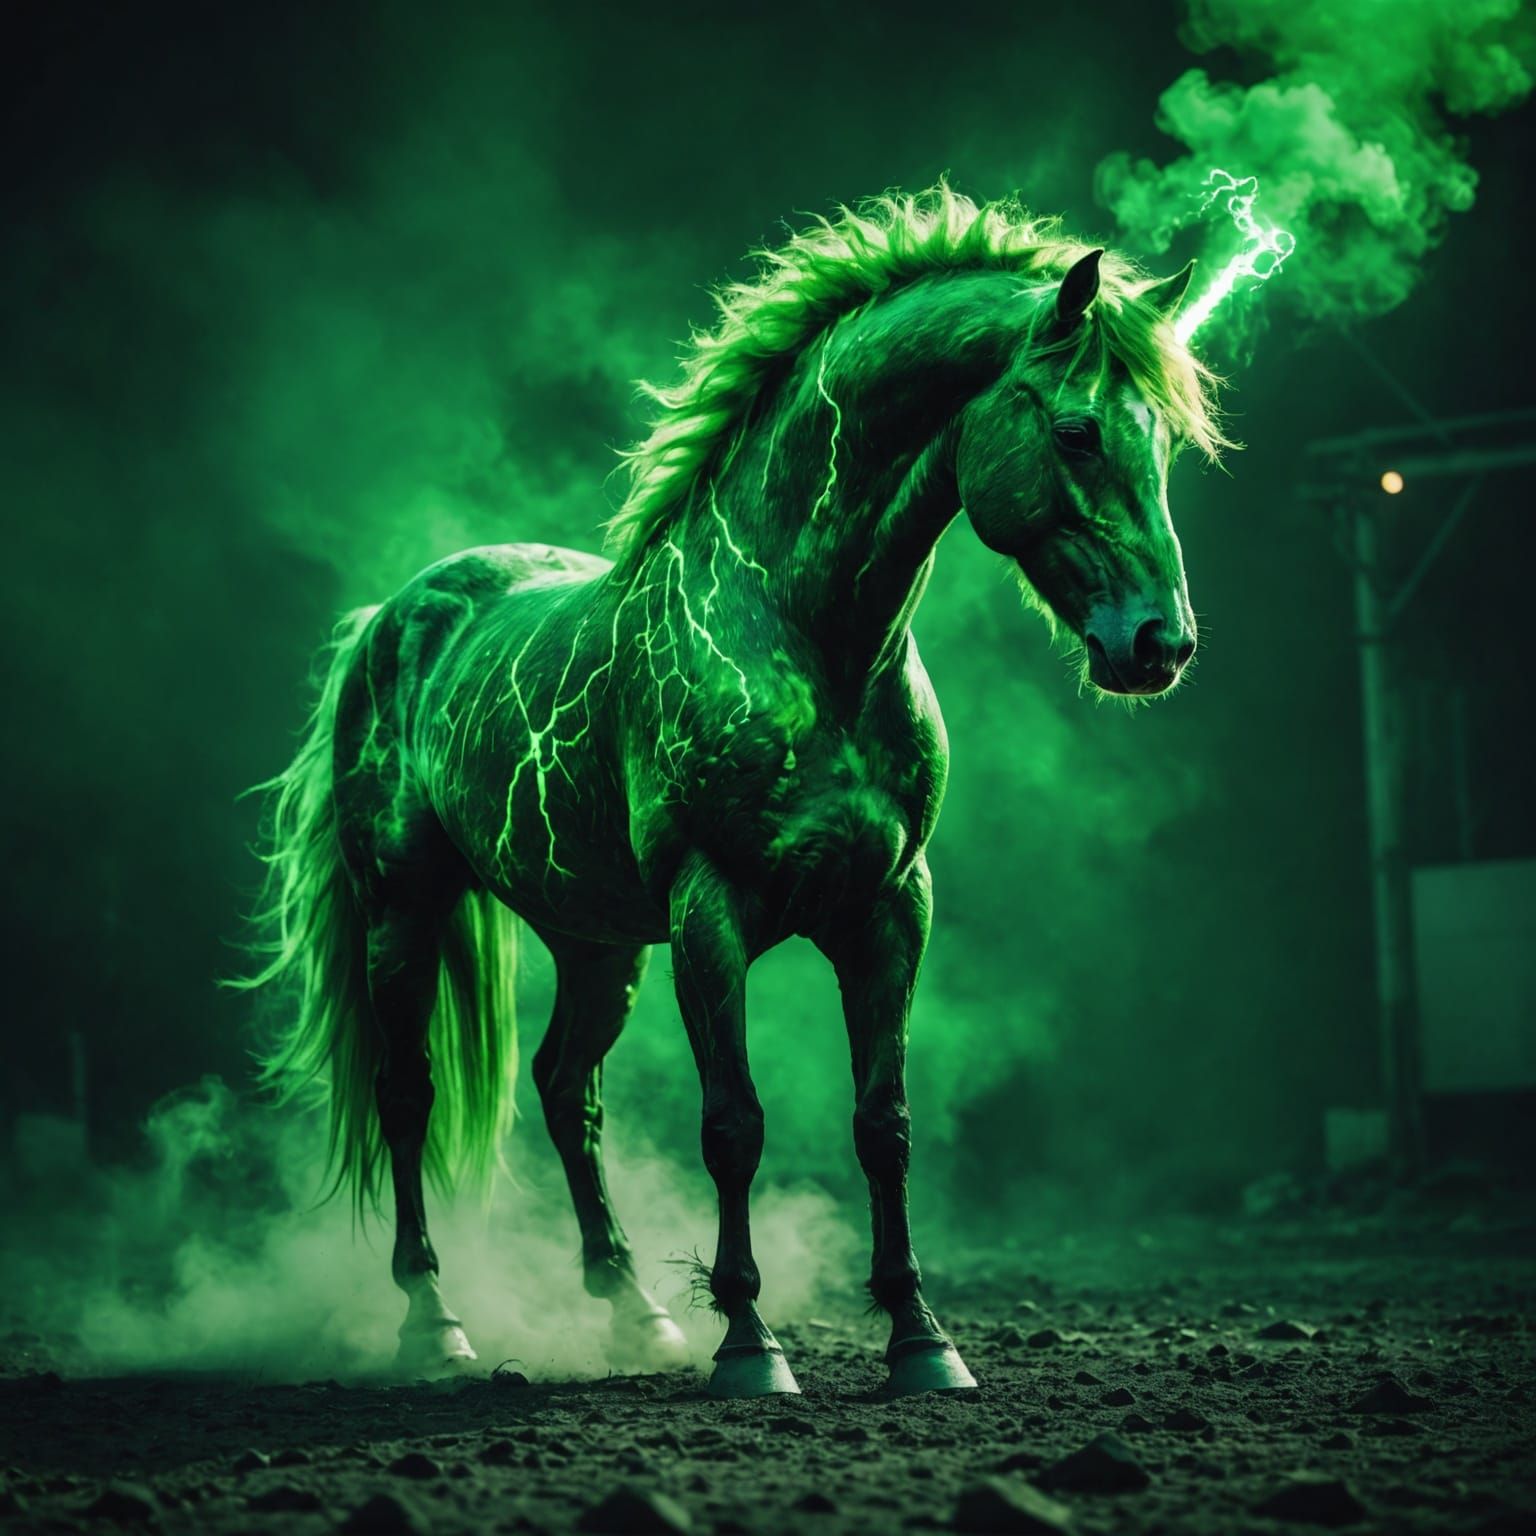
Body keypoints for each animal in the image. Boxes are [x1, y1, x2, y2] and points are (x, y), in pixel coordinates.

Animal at [239, 184, 1227, 1397]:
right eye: (1078, 429)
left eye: (1166, 439)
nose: (1160, 645)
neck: (811, 642)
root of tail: (390, 617)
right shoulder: (710, 912)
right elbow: (734, 1125)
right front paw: (752, 1349)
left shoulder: (892, 909)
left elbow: (883, 1122)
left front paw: (922, 1341)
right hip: (403, 908)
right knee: (408, 1092)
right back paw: (436, 1324)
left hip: (595, 940)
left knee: (567, 1089)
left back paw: (635, 1311)